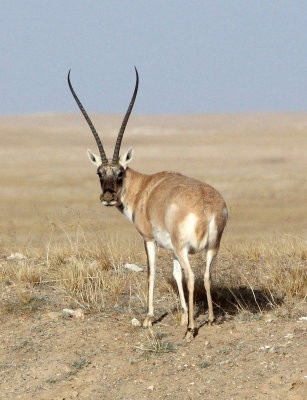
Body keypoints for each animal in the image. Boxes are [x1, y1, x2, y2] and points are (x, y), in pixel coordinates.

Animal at [69, 66, 229, 340]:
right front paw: (183, 315)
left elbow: (152, 272)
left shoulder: (149, 239)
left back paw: (190, 330)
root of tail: (207, 207)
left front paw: (148, 318)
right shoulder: (173, 249)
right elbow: (174, 274)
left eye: (119, 172)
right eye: (100, 173)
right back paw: (208, 318)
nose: (108, 197)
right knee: (206, 276)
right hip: (210, 248)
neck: (143, 188)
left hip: (185, 248)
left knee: (192, 276)